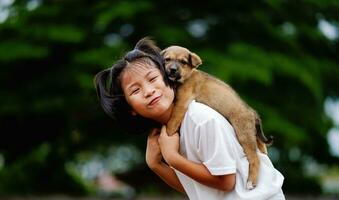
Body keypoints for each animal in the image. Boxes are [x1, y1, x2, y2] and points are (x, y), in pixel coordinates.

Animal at [162, 45, 274, 189]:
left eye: (183, 62)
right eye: (167, 59)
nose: (172, 70)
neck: (187, 76)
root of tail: (252, 113)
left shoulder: (182, 102)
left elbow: (171, 123)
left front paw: (166, 137)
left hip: (244, 134)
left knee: (255, 159)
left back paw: (251, 182)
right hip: (254, 136)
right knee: (262, 148)